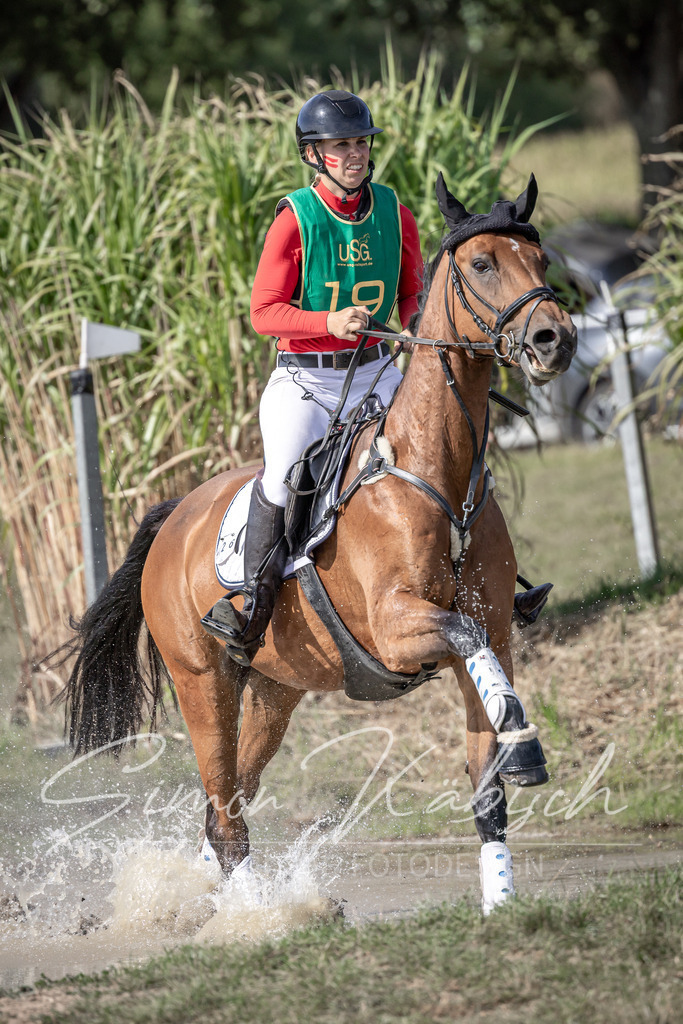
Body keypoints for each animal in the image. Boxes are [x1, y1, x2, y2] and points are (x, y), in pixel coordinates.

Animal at [62, 173, 577, 914]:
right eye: (482, 264)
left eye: (539, 261)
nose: (553, 340)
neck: (436, 471)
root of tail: (174, 517)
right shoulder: (398, 629)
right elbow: (467, 643)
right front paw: (528, 750)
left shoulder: (492, 632)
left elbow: (488, 780)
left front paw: (500, 905)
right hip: (202, 683)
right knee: (225, 813)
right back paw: (256, 919)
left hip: (275, 690)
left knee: (226, 806)